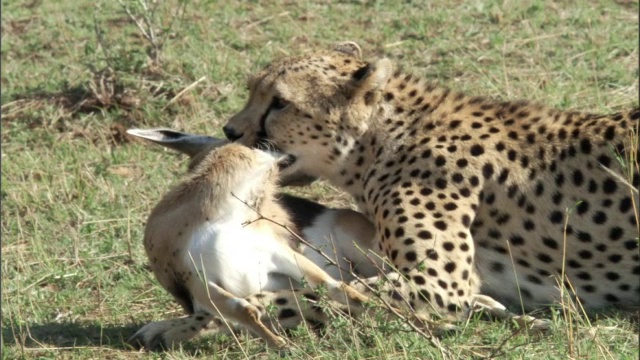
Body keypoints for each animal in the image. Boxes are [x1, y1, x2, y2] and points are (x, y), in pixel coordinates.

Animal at [127, 128, 382, 350]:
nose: (280, 149)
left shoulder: (280, 253)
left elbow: (336, 287)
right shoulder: (200, 284)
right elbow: (244, 310)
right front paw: (283, 346)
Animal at [224, 41, 640, 324]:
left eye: (280, 103)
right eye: (251, 90)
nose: (229, 131)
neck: (382, 139)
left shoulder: (441, 284)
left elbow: (328, 293)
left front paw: (231, 312)